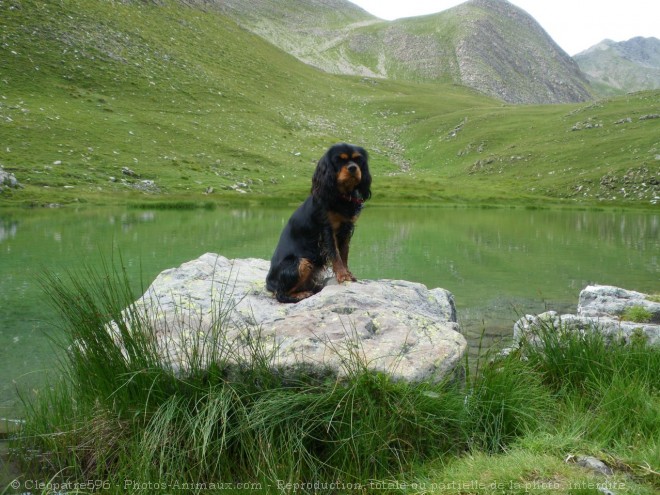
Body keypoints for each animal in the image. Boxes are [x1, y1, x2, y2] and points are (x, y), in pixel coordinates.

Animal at [266, 143, 372, 304]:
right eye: (339, 160)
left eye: (358, 160)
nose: (353, 168)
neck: (341, 196)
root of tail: (268, 284)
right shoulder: (327, 229)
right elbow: (335, 254)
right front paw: (342, 275)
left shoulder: (347, 228)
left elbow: (344, 253)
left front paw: (348, 273)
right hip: (301, 262)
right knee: (280, 294)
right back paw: (301, 295)